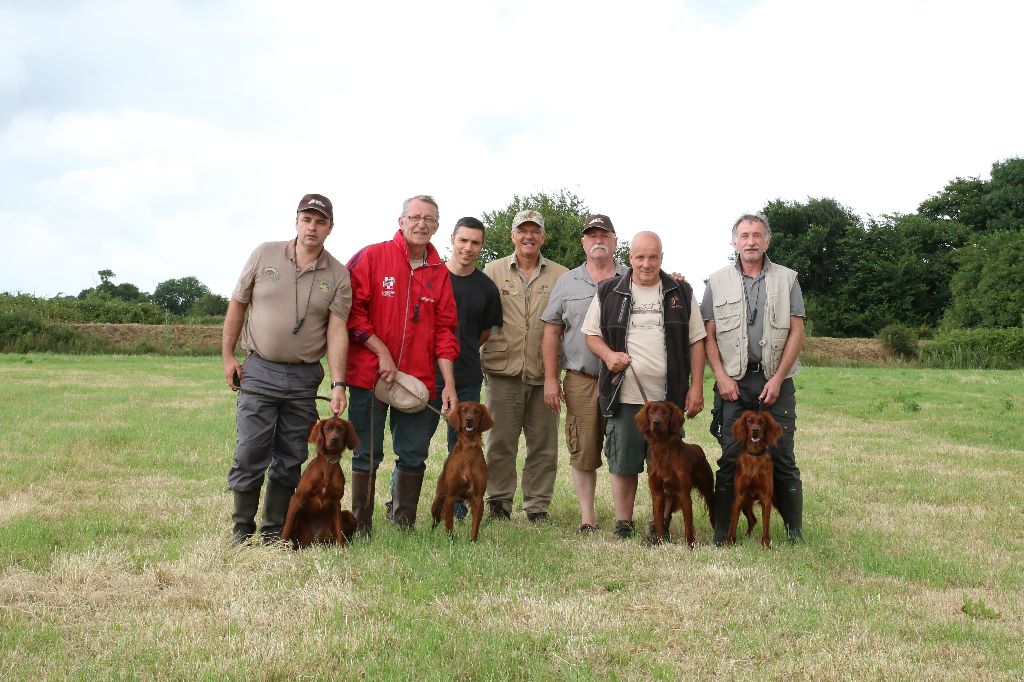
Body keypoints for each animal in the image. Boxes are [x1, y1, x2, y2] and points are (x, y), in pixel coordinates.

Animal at [280, 413, 360, 548]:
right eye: (327, 429)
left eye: (342, 429)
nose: (334, 439)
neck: (327, 465)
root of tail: (314, 541)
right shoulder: (297, 499)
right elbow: (286, 529)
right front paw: (280, 549)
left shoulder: (336, 501)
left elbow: (339, 529)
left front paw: (342, 548)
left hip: (348, 515)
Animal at [430, 401, 493, 540]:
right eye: (463, 410)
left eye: (477, 411)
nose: (469, 420)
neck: (468, 447)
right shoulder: (450, 496)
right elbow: (449, 524)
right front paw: (450, 540)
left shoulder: (478, 498)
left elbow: (475, 525)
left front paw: (473, 541)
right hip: (437, 500)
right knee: (435, 519)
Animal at [634, 401, 716, 544]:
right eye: (651, 412)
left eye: (666, 412)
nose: (656, 422)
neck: (662, 448)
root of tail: (698, 448)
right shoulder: (657, 495)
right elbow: (659, 524)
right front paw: (661, 543)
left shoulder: (684, 494)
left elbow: (688, 526)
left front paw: (690, 545)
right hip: (669, 497)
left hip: (708, 490)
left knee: (712, 510)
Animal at [729, 409, 782, 548]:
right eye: (749, 421)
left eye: (763, 421)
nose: (755, 430)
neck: (754, 455)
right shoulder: (739, 497)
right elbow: (733, 524)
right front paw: (730, 543)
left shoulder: (766, 499)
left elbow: (766, 525)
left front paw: (766, 545)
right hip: (745, 503)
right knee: (753, 519)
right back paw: (746, 536)